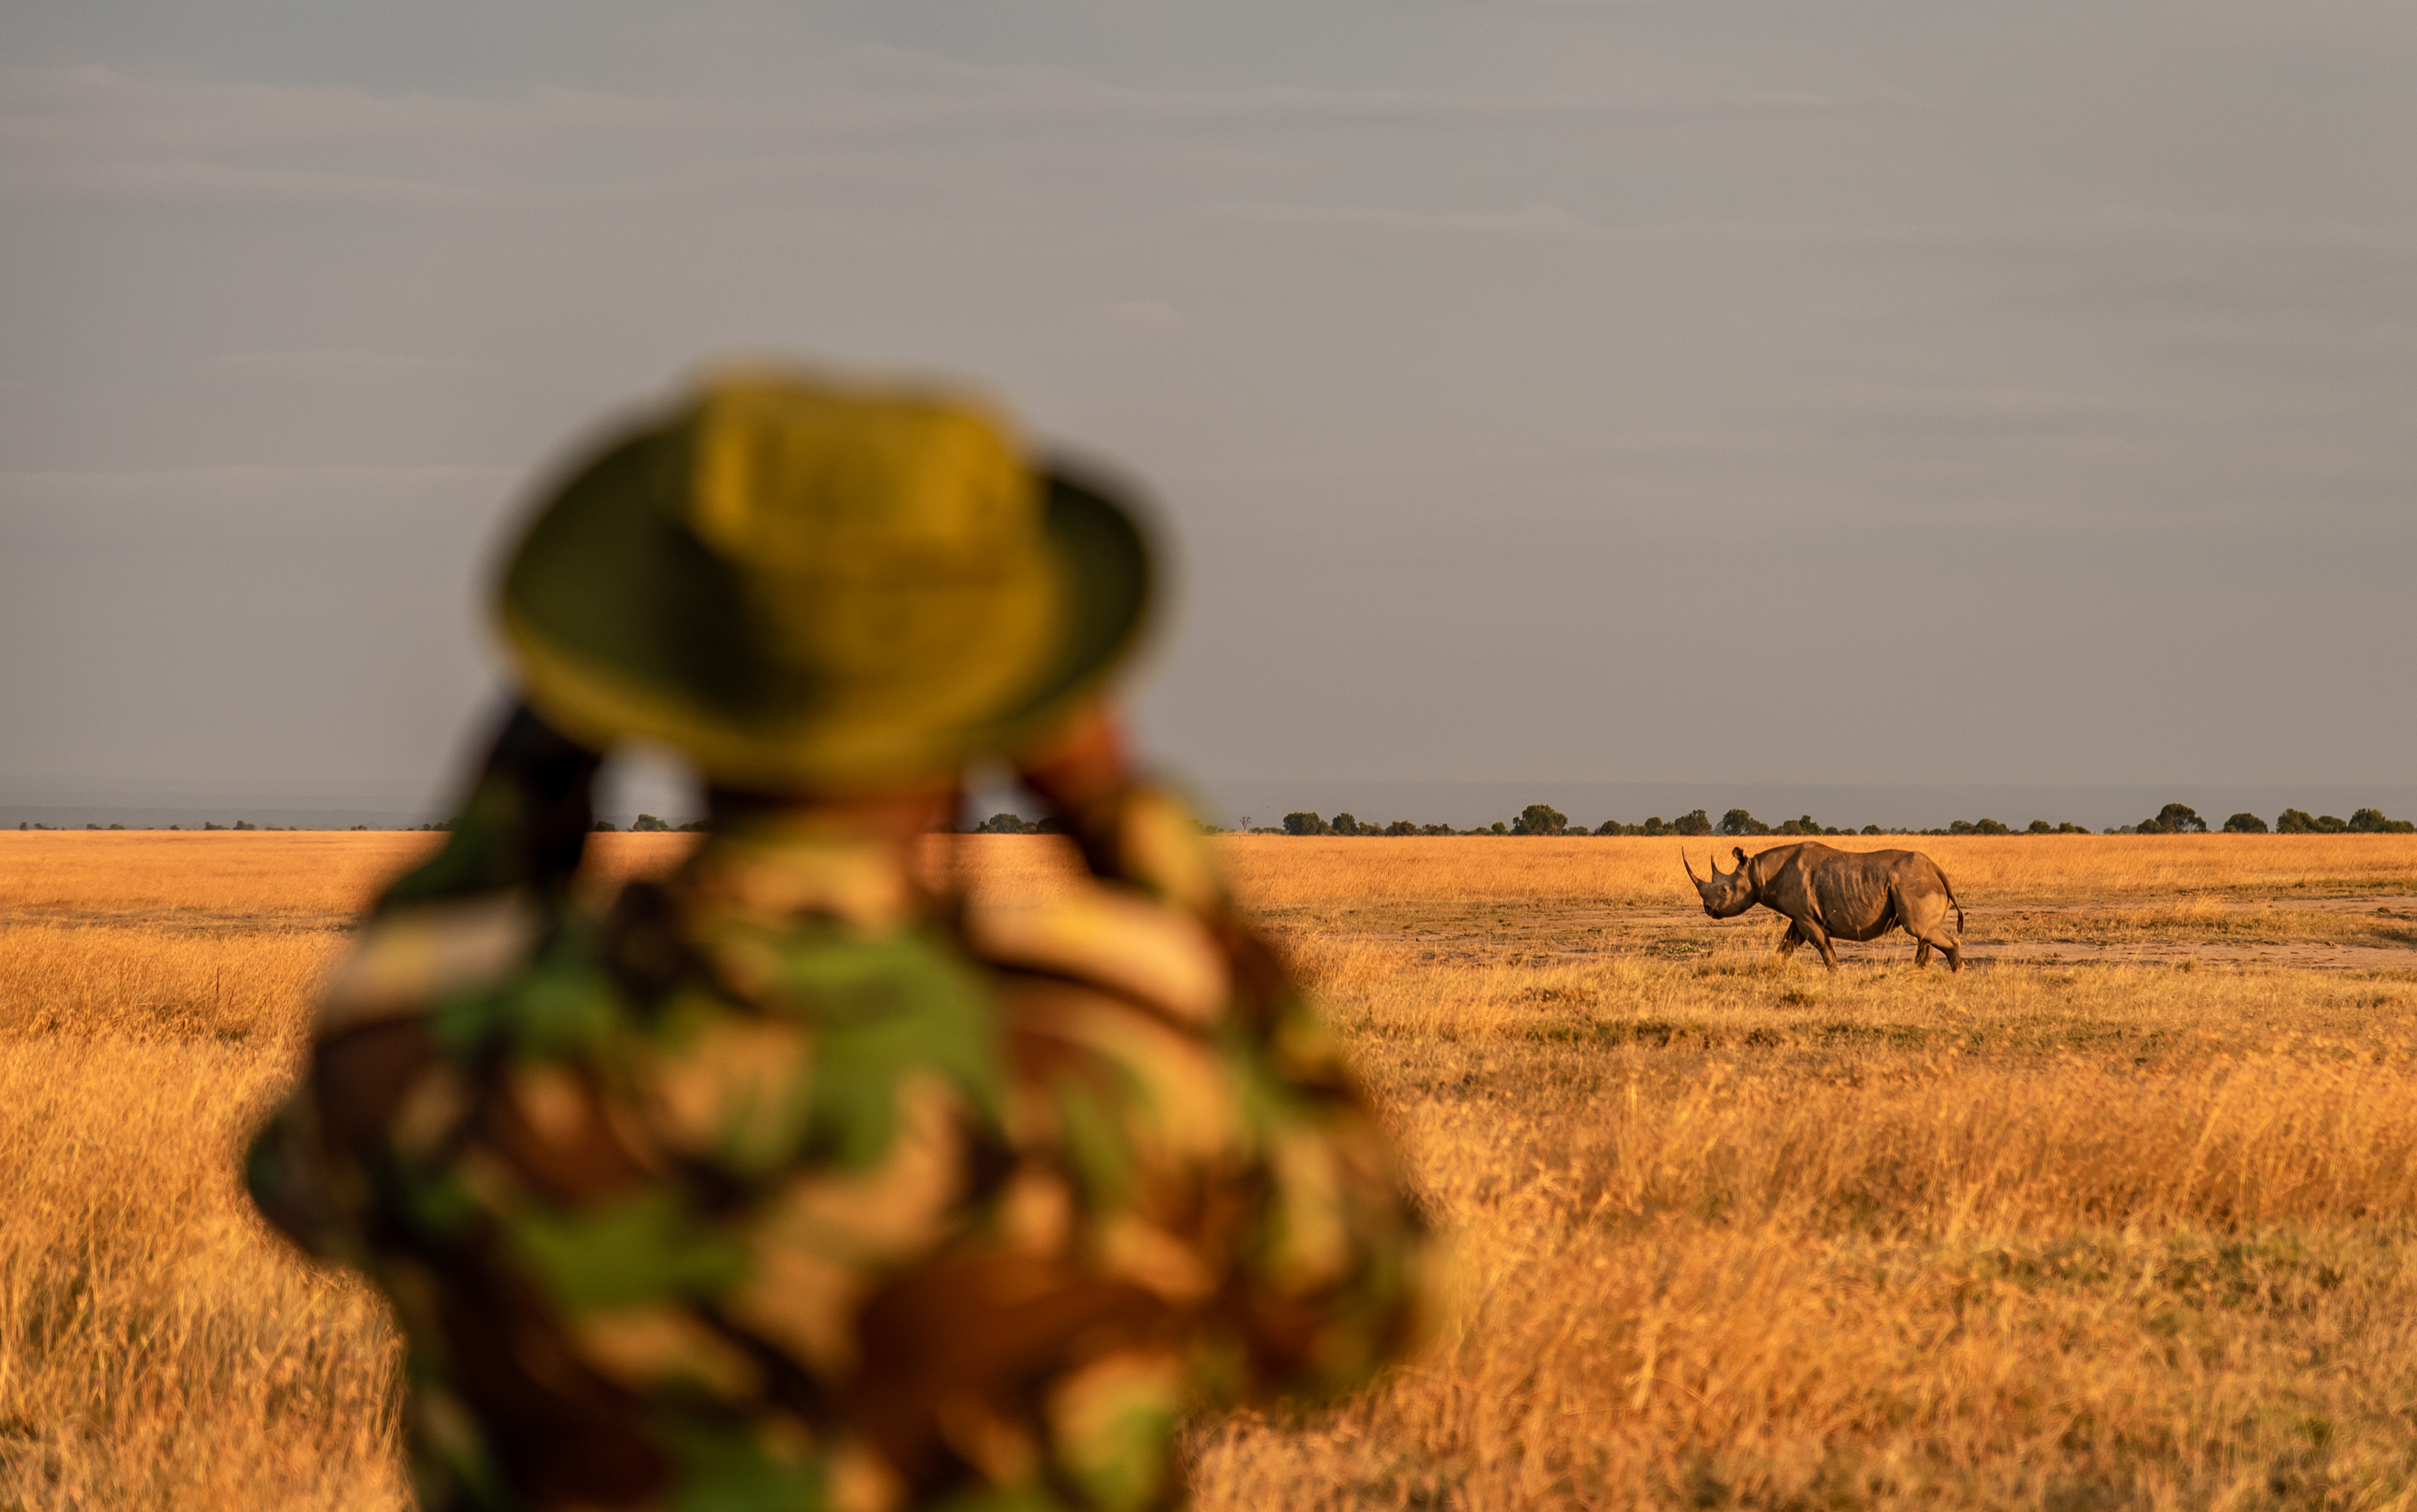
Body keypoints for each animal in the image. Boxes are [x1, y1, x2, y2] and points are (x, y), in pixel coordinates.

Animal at [1682, 835, 1963, 966]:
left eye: (1725, 890)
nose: (1708, 909)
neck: (1757, 872)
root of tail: (1937, 870)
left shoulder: (1805, 916)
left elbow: (1822, 945)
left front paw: (1835, 974)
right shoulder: (1799, 916)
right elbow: (1787, 946)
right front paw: (1775, 968)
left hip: (1914, 885)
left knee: (1919, 929)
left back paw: (1955, 972)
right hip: (1916, 884)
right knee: (1924, 933)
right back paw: (1916, 975)